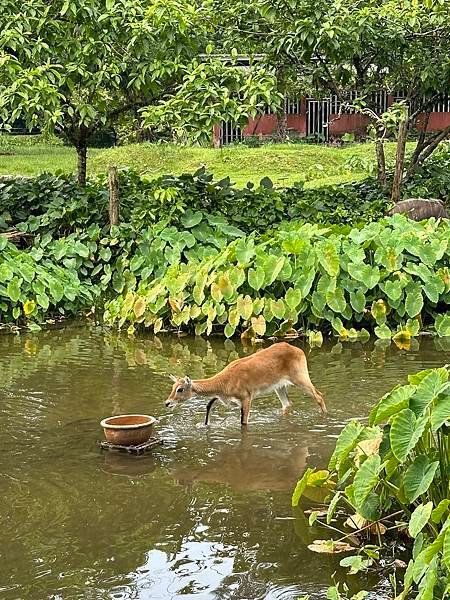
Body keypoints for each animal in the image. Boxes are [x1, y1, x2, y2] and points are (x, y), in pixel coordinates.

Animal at [163, 342, 326, 426]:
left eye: (180, 389)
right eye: (172, 387)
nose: (167, 403)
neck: (224, 382)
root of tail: (299, 350)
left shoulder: (246, 397)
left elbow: (243, 422)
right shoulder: (225, 398)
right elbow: (209, 404)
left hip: (300, 377)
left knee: (319, 396)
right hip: (279, 387)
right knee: (287, 404)